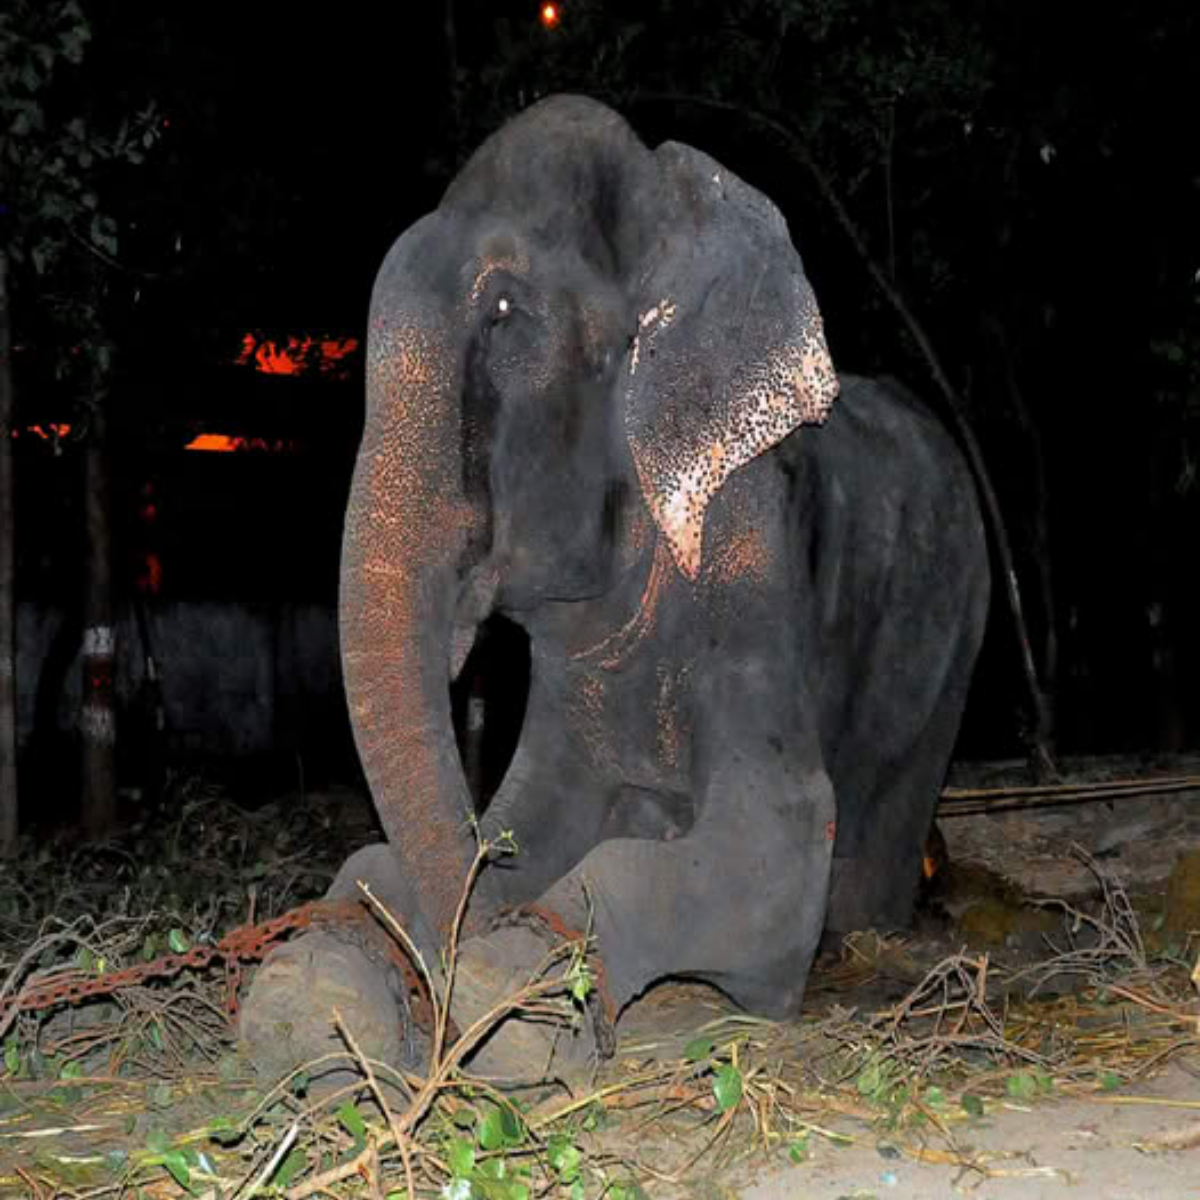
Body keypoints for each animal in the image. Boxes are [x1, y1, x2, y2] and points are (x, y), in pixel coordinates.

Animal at [238, 98, 988, 1084]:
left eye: (505, 312)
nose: (437, 980)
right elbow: (521, 821)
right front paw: (310, 995)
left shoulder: (750, 549)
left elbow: (779, 837)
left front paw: (516, 1002)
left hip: (953, 646)